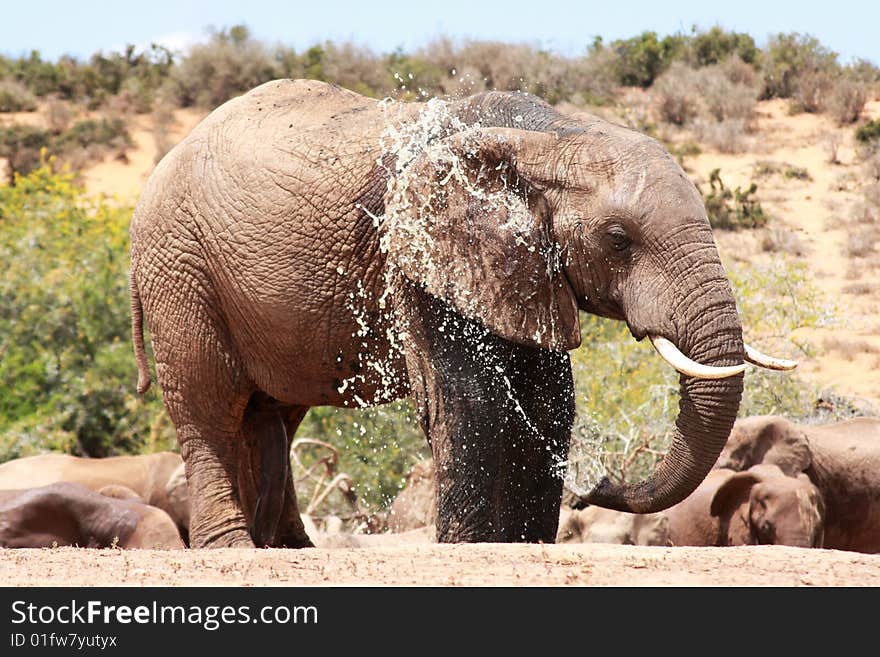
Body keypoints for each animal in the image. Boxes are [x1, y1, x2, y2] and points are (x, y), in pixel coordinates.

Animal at [129, 78, 792, 548]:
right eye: (618, 238)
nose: (596, 486)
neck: (549, 135)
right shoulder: (418, 252)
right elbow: (471, 399)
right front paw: (470, 546)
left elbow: (548, 402)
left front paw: (522, 546)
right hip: (179, 266)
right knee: (209, 405)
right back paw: (232, 547)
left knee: (274, 415)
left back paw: (291, 549)